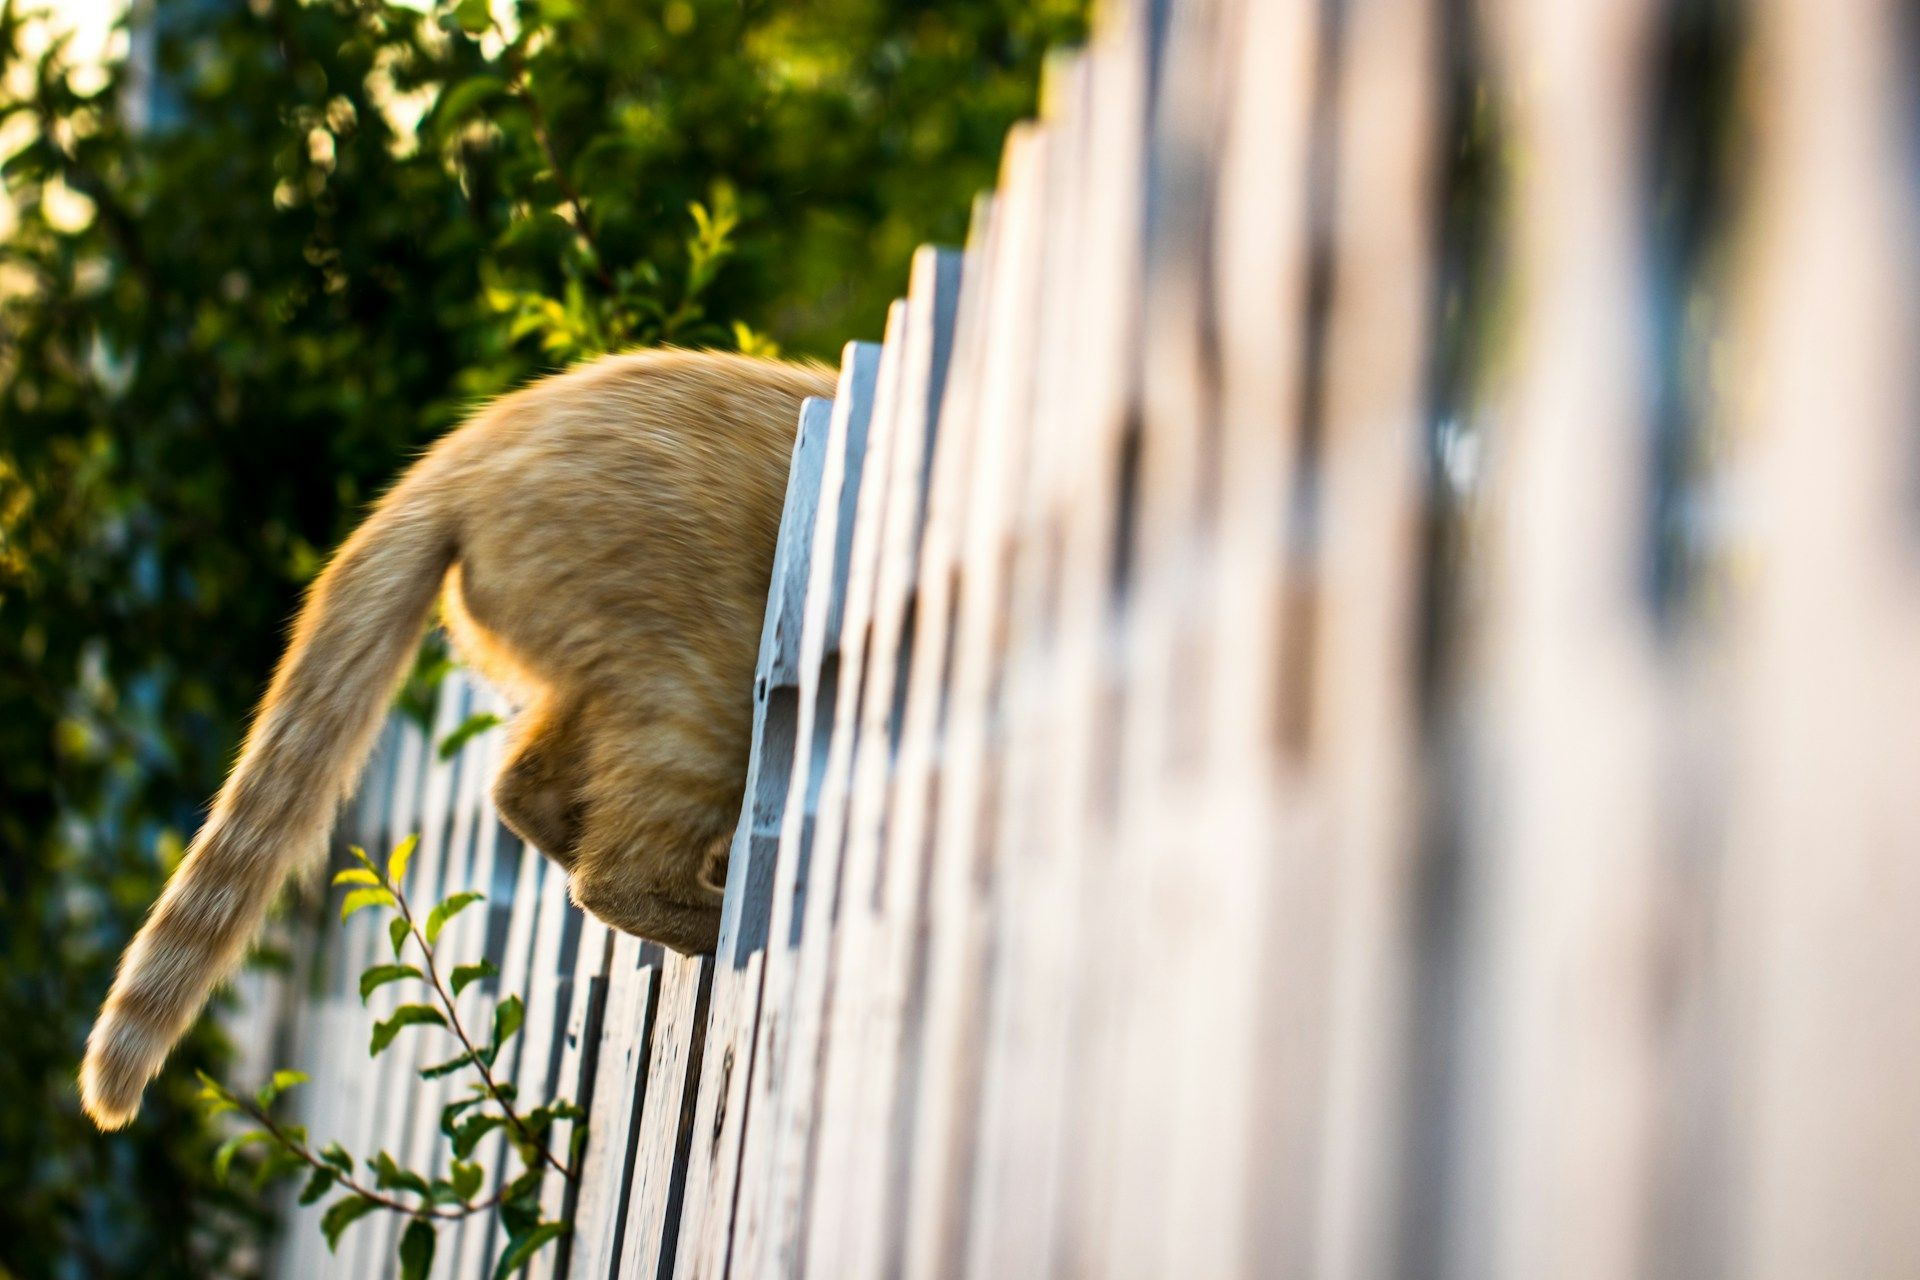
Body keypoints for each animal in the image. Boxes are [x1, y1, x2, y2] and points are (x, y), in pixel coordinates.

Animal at [82, 347, 833, 1128]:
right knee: (614, 873)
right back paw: (731, 921)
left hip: (606, 690)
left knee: (523, 793)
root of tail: (463, 454)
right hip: (707, 698)